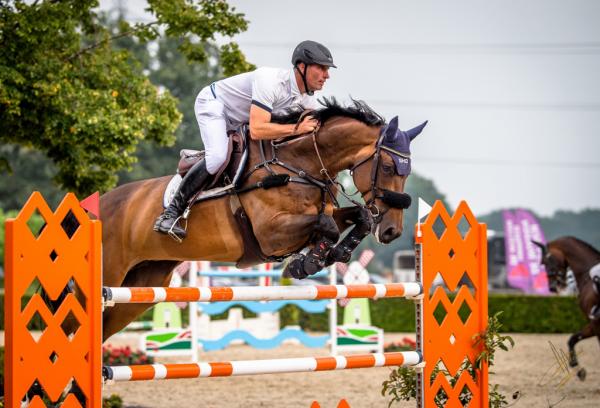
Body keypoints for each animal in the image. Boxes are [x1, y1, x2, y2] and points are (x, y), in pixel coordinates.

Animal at [89, 99, 426, 342]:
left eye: (407, 172)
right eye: (387, 167)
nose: (392, 230)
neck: (298, 164)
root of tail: (96, 207)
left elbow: (357, 218)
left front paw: (334, 254)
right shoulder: (270, 234)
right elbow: (326, 227)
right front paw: (306, 263)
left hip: (143, 287)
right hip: (112, 275)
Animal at [536, 237, 600, 380]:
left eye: (546, 261)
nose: (552, 287)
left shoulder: (596, 324)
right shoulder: (592, 324)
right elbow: (572, 339)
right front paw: (578, 369)